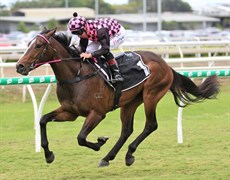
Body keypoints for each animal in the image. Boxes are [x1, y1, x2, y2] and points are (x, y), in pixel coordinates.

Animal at [15, 28, 218, 167]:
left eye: (38, 46)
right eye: (28, 44)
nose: (19, 66)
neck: (76, 76)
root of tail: (165, 64)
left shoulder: (97, 113)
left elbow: (81, 137)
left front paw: (99, 143)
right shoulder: (69, 112)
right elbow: (42, 119)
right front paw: (48, 155)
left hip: (151, 95)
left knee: (150, 125)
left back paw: (128, 154)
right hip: (129, 103)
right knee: (126, 130)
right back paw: (108, 158)